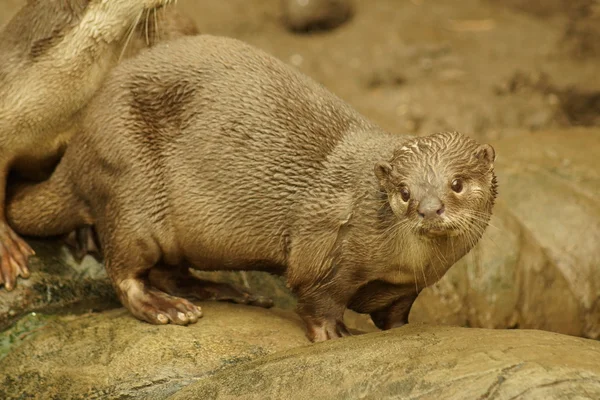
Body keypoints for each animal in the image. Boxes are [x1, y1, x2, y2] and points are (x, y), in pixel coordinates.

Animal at [4, 35, 496, 340]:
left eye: (456, 184)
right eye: (405, 192)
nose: (429, 209)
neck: (403, 265)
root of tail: (80, 143)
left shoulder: (406, 289)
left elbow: (395, 318)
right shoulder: (321, 251)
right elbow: (315, 299)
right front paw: (334, 335)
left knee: (168, 267)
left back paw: (220, 291)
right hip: (130, 187)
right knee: (125, 270)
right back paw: (167, 308)